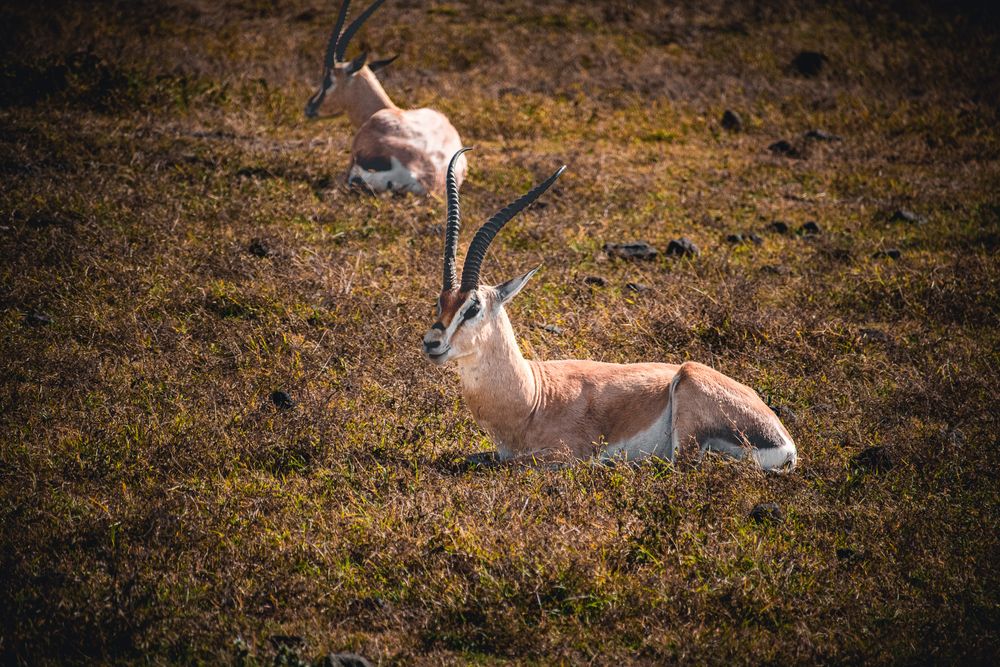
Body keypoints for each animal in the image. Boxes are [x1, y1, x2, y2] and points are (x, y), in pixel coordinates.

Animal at [422, 149, 799, 470]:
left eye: (473, 307)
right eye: (441, 301)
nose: (432, 343)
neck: (533, 397)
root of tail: (785, 443)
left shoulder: (560, 455)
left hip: (688, 400)